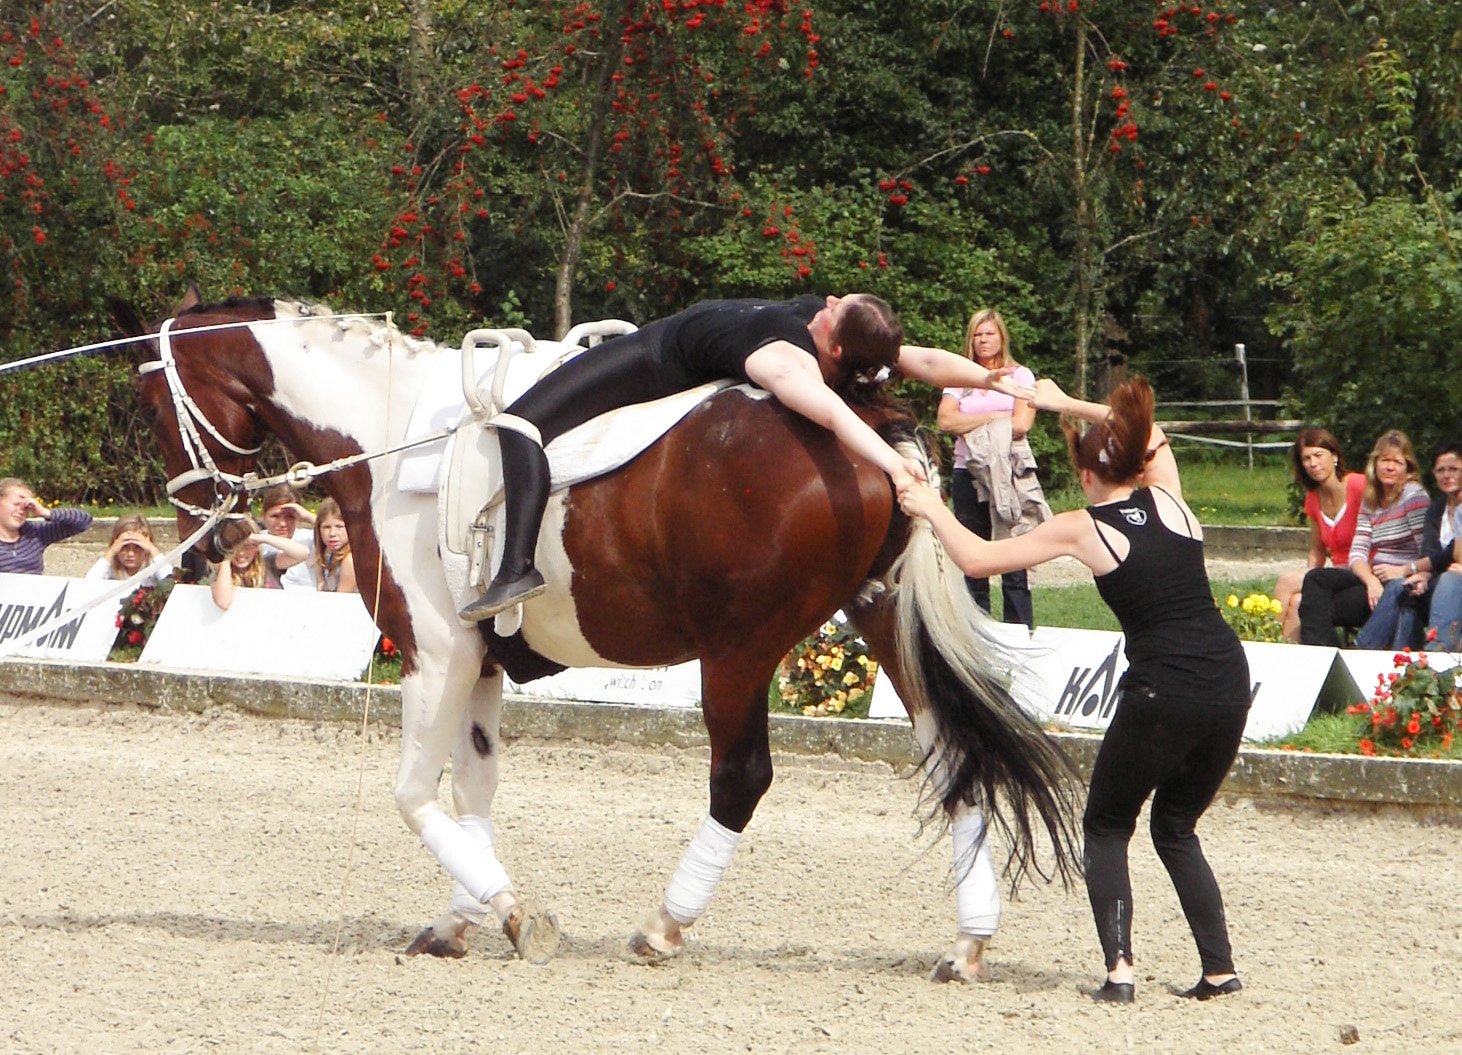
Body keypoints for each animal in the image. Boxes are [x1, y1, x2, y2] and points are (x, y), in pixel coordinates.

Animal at [121, 288, 1082, 979]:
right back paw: (967, 942)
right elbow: (474, 794)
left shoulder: (438, 653)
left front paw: (511, 914)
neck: (393, 437)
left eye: (158, 410)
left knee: (742, 777)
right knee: (953, 757)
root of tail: (873, 431)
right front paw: (462, 917)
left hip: (740, 647)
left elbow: (414, 795)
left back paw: (664, 925)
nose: (208, 542)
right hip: (881, 617)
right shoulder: (479, 665)